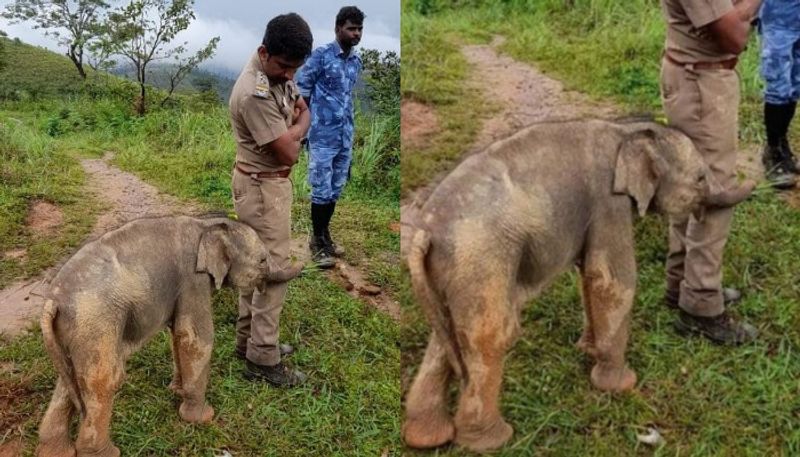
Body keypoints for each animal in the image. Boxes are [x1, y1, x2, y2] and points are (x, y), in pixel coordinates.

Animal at [34, 215, 304, 456]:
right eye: (262, 260)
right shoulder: (193, 279)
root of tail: (53, 301)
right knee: (104, 379)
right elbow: (195, 337)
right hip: (96, 323)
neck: (207, 224)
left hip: (73, 332)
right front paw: (202, 418)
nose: (303, 262)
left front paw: (176, 390)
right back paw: (107, 453)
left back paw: (56, 452)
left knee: (71, 381)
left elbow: (178, 334)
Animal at [404, 119, 752, 450]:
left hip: (452, 272)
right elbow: (611, 278)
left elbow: (589, 274)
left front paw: (586, 349)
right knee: (490, 336)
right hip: (481, 259)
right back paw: (492, 440)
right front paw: (621, 385)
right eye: (700, 179)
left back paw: (427, 438)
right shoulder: (608, 201)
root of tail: (425, 232)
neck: (628, 131)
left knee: (448, 337)